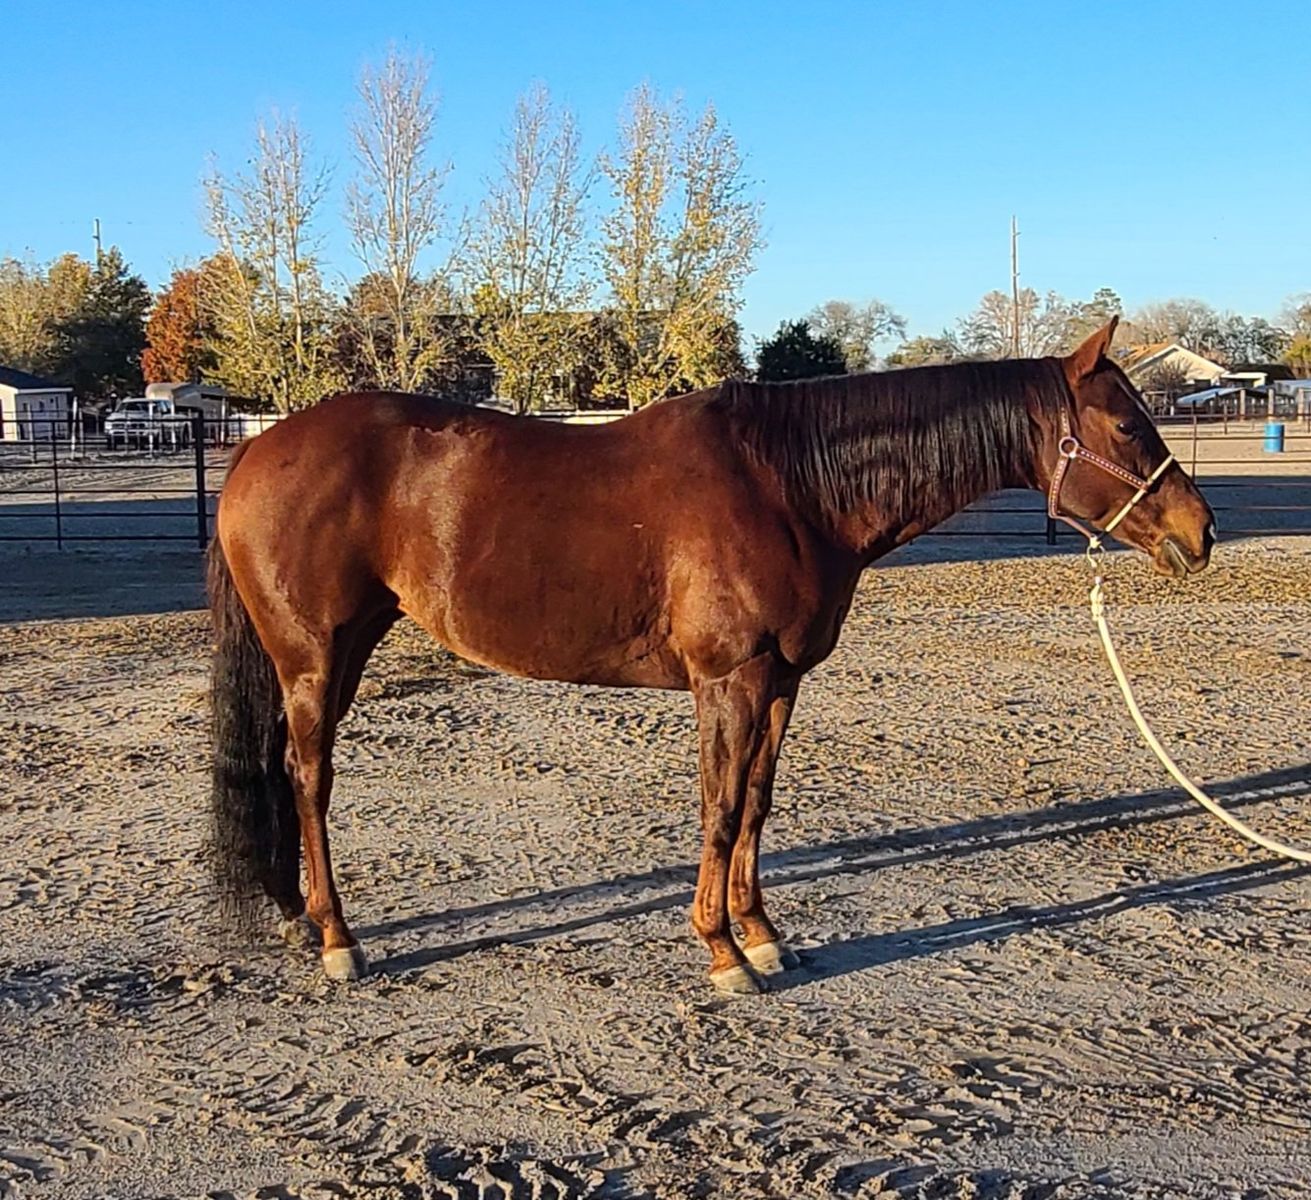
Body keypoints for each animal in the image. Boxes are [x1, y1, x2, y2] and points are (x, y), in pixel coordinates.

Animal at [208, 318, 1215, 994]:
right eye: (1127, 427)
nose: (1199, 533)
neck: (786, 484)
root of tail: (258, 452)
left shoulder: (779, 683)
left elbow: (758, 805)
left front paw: (761, 932)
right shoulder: (727, 682)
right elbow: (721, 808)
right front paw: (723, 952)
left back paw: (299, 918)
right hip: (315, 657)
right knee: (308, 778)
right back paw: (337, 940)